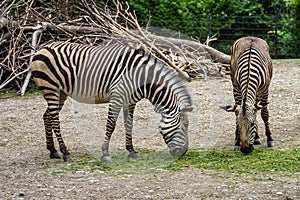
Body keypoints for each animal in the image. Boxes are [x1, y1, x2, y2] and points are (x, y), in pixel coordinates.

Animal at [31, 41, 192, 162]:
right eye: (185, 126)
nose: (183, 153)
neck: (141, 78)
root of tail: (43, 47)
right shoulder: (117, 97)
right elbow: (111, 125)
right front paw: (105, 154)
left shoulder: (130, 101)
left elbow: (129, 125)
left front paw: (131, 151)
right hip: (50, 88)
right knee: (55, 120)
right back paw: (65, 153)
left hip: (61, 92)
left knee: (47, 116)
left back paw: (53, 151)